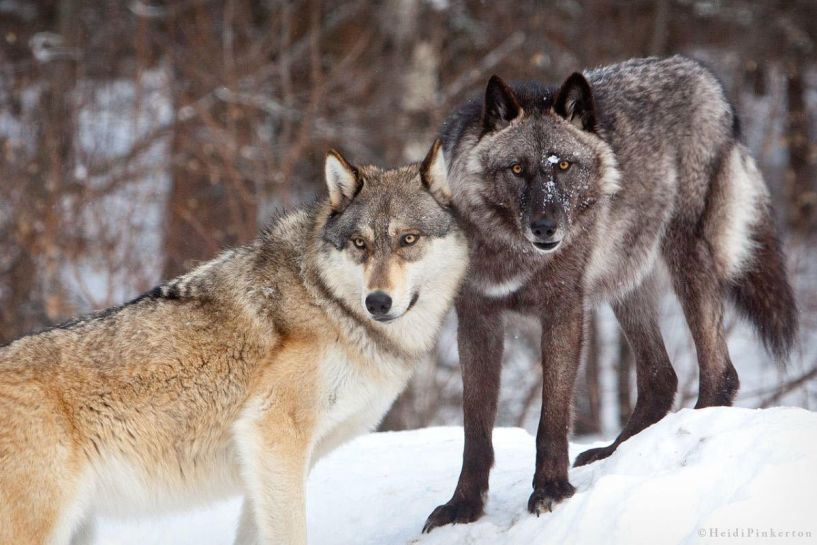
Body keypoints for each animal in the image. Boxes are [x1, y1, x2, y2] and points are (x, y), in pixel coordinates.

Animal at [0, 140, 466, 544]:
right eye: (360, 244)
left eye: (408, 239)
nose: (378, 302)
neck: (329, 302)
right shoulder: (272, 435)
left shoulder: (269, 461)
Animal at [424, 56, 792, 532]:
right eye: (518, 169)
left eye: (563, 166)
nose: (546, 228)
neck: (511, 251)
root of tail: (702, 74)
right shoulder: (476, 318)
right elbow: (475, 427)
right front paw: (463, 506)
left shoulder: (564, 310)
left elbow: (552, 418)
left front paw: (550, 490)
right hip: (627, 284)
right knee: (660, 377)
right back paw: (615, 450)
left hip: (685, 260)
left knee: (719, 371)